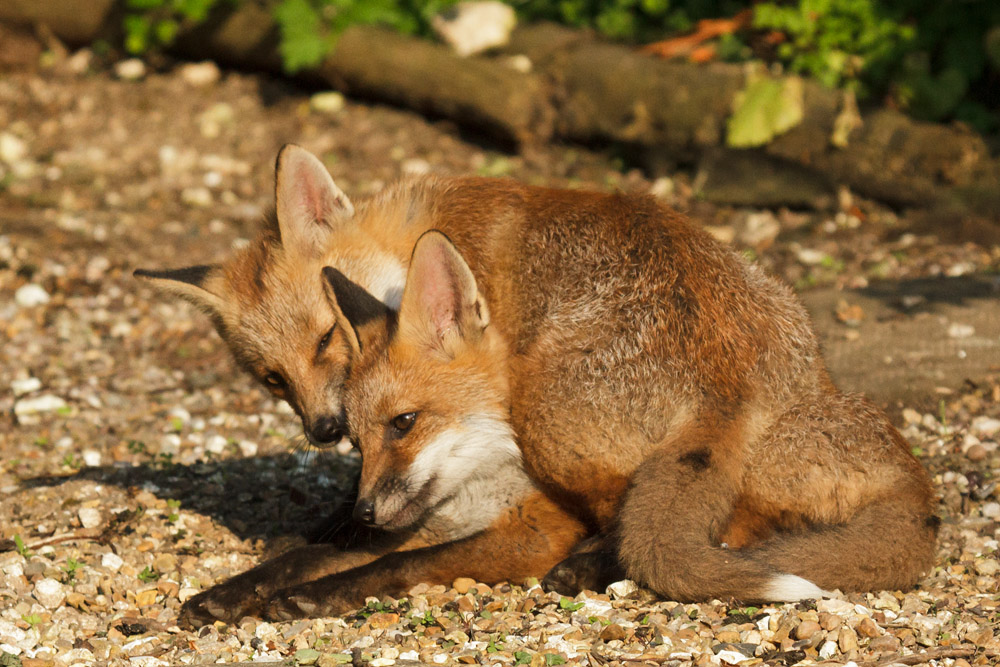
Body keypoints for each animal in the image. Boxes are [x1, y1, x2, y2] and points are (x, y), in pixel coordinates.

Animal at [138, 145, 937, 623]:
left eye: (328, 337)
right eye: (273, 379)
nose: (325, 430)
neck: (429, 226)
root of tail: (729, 373)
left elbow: (395, 555)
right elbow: (335, 543)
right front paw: (247, 582)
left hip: (545, 421)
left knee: (692, 526)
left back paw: (589, 563)